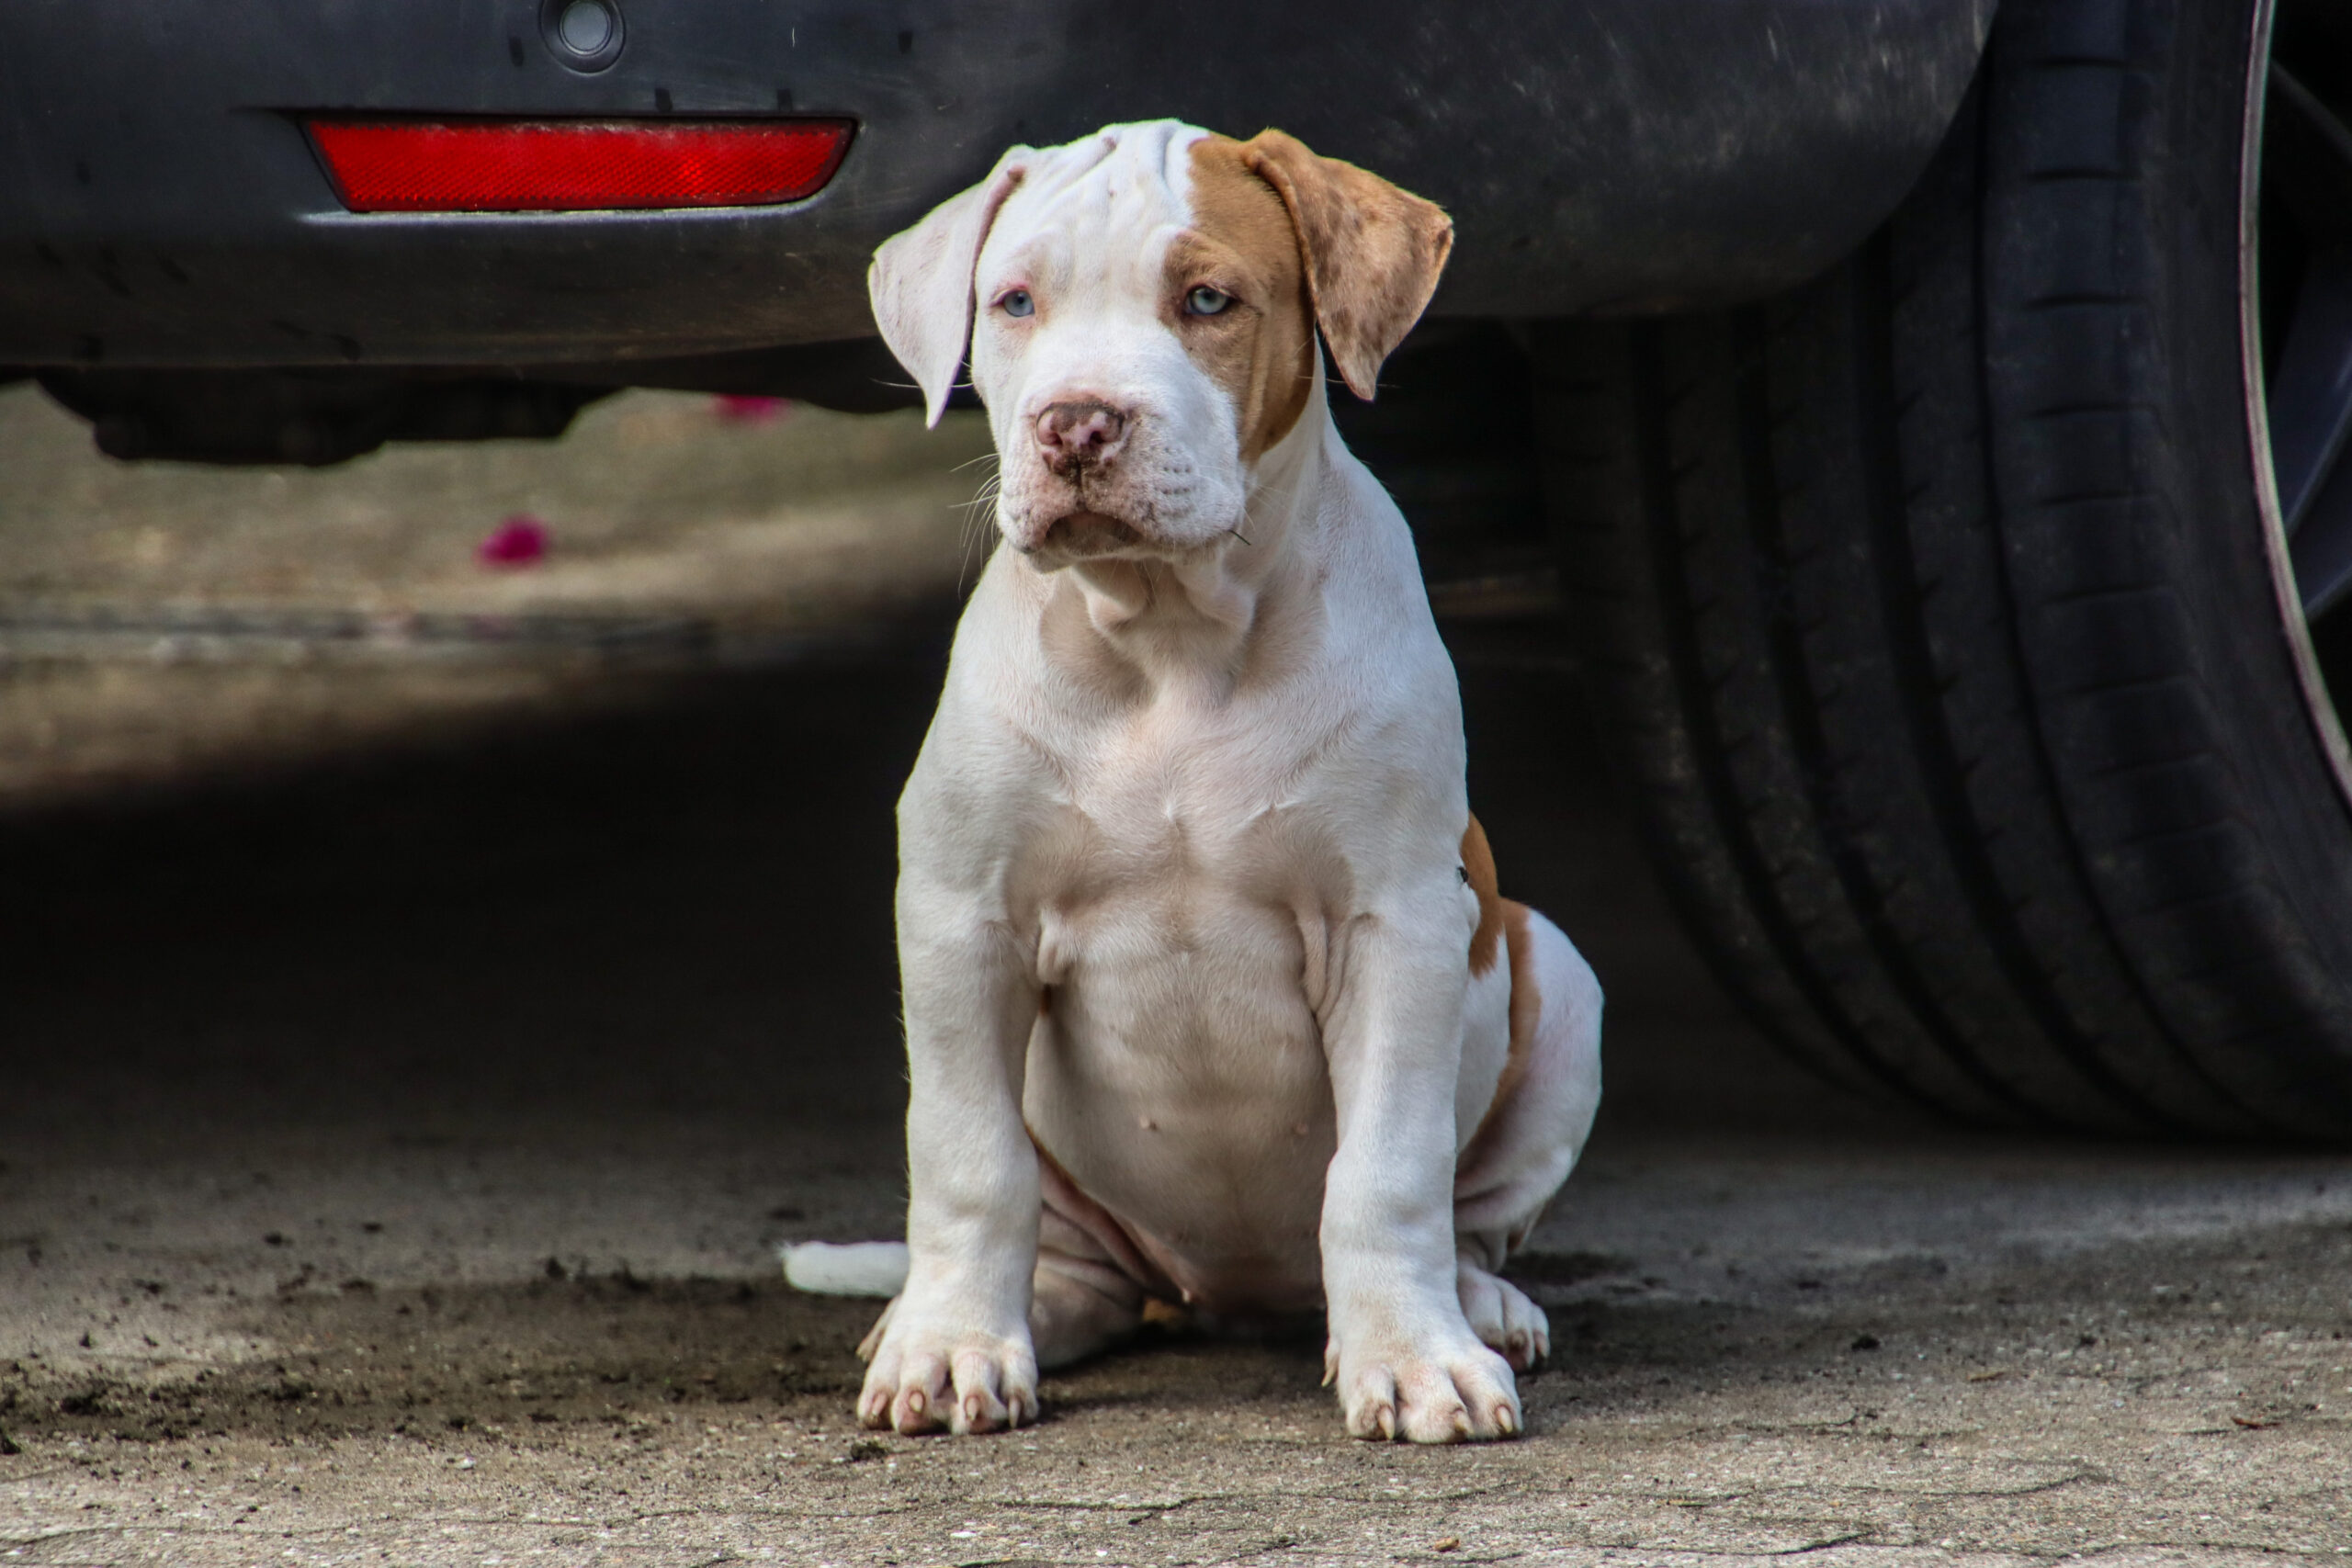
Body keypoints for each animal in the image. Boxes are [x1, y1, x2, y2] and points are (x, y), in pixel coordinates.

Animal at [846, 119, 1599, 1448]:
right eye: (1014, 302)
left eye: (1207, 300)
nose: (1077, 425)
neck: (1170, 641)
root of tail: (1226, 1295)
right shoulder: (959, 915)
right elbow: (967, 1156)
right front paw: (948, 1346)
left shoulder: (1397, 922)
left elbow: (1387, 1169)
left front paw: (1414, 1362)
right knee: (1066, 1241)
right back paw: (1017, 1309)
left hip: (1556, 971)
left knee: (1465, 1213)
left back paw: (1475, 1306)